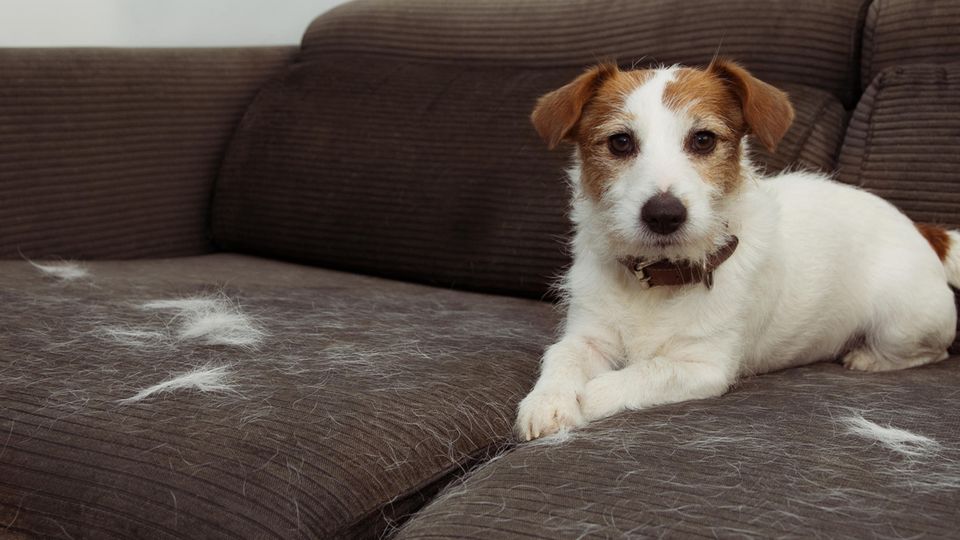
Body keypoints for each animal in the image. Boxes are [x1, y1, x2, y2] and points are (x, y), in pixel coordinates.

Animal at [516, 59, 960, 440]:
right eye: (620, 142)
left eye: (703, 139)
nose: (664, 214)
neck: (659, 277)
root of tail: (922, 230)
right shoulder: (588, 337)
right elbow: (561, 356)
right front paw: (548, 401)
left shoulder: (703, 367)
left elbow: (638, 374)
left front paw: (585, 398)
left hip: (900, 322)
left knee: (934, 352)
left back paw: (866, 357)